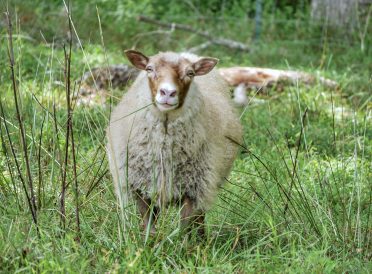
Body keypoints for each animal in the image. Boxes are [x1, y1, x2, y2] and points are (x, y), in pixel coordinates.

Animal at [106, 49, 243, 235]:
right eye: (149, 69)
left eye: (190, 73)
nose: (168, 93)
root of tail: (187, 53)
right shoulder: (140, 188)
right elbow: (148, 226)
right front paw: (148, 241)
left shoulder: (194, 190)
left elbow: (185, 229)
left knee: (200, 219)